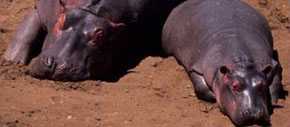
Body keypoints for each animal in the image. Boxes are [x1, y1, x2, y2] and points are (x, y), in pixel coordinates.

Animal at [2, 0, 184, 81]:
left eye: (100, 35)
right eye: (60, 21)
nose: (56, 64)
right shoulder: (43, 9)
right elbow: (26, 29)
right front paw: (11, 62)